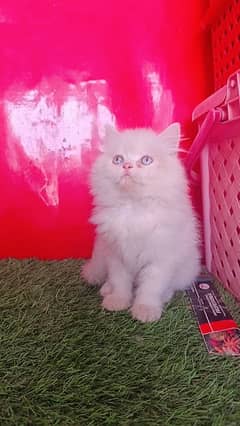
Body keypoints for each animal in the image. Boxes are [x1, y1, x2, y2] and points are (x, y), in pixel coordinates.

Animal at [82, 123, 201, 322]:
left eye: (146, 160)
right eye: (118, 159)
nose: (127, 165)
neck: (134, 208)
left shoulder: (160, 259)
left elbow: (150, 288)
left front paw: (145, 310)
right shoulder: (116, 255)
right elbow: (120, 281)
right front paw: (117, 301)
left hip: (186, 268)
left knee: (173, 285)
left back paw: (165, 296)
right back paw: (106, 289)